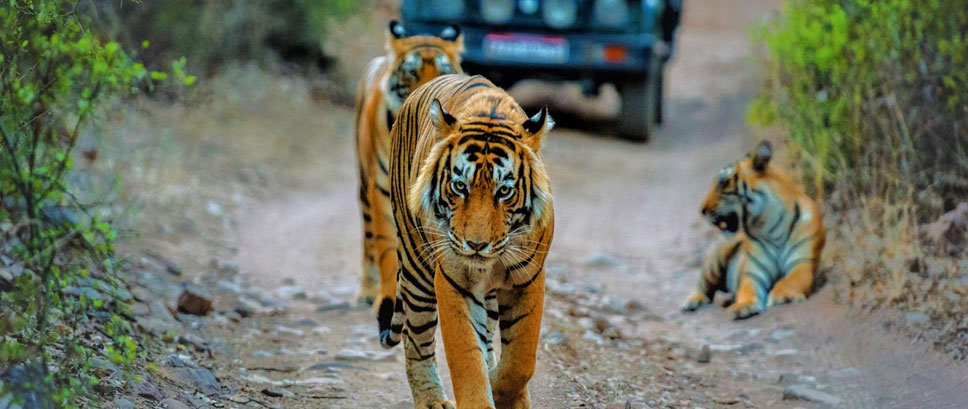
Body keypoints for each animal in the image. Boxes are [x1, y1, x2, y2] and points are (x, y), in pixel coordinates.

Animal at [355, 20, 463, 306]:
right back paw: (367, 291)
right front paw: (386, 297)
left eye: (443, 71)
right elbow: (386, 250)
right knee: (368, 238)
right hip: (364, 185)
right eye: (412, 73)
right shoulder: (382, 189)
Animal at [380, 74, 555, 409]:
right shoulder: (453, 280)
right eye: (460, 186)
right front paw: (485, 391)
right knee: (417, 340)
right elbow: (466, 359)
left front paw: (504, 390)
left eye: (504, 191)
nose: (476, 245)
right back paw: (432, 400)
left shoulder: (529, 278)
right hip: (416, 267)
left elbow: (521, 360)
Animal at [682, 140, 826, 320]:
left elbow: (789, 280)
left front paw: (783, 296)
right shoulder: (753, 272)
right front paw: (742, 306)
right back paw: (691, 302)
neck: (770, 225)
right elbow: (747, 290)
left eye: (723, 183)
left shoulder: (801, 263)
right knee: (703, 286)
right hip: (717, 259)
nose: (702, 211)